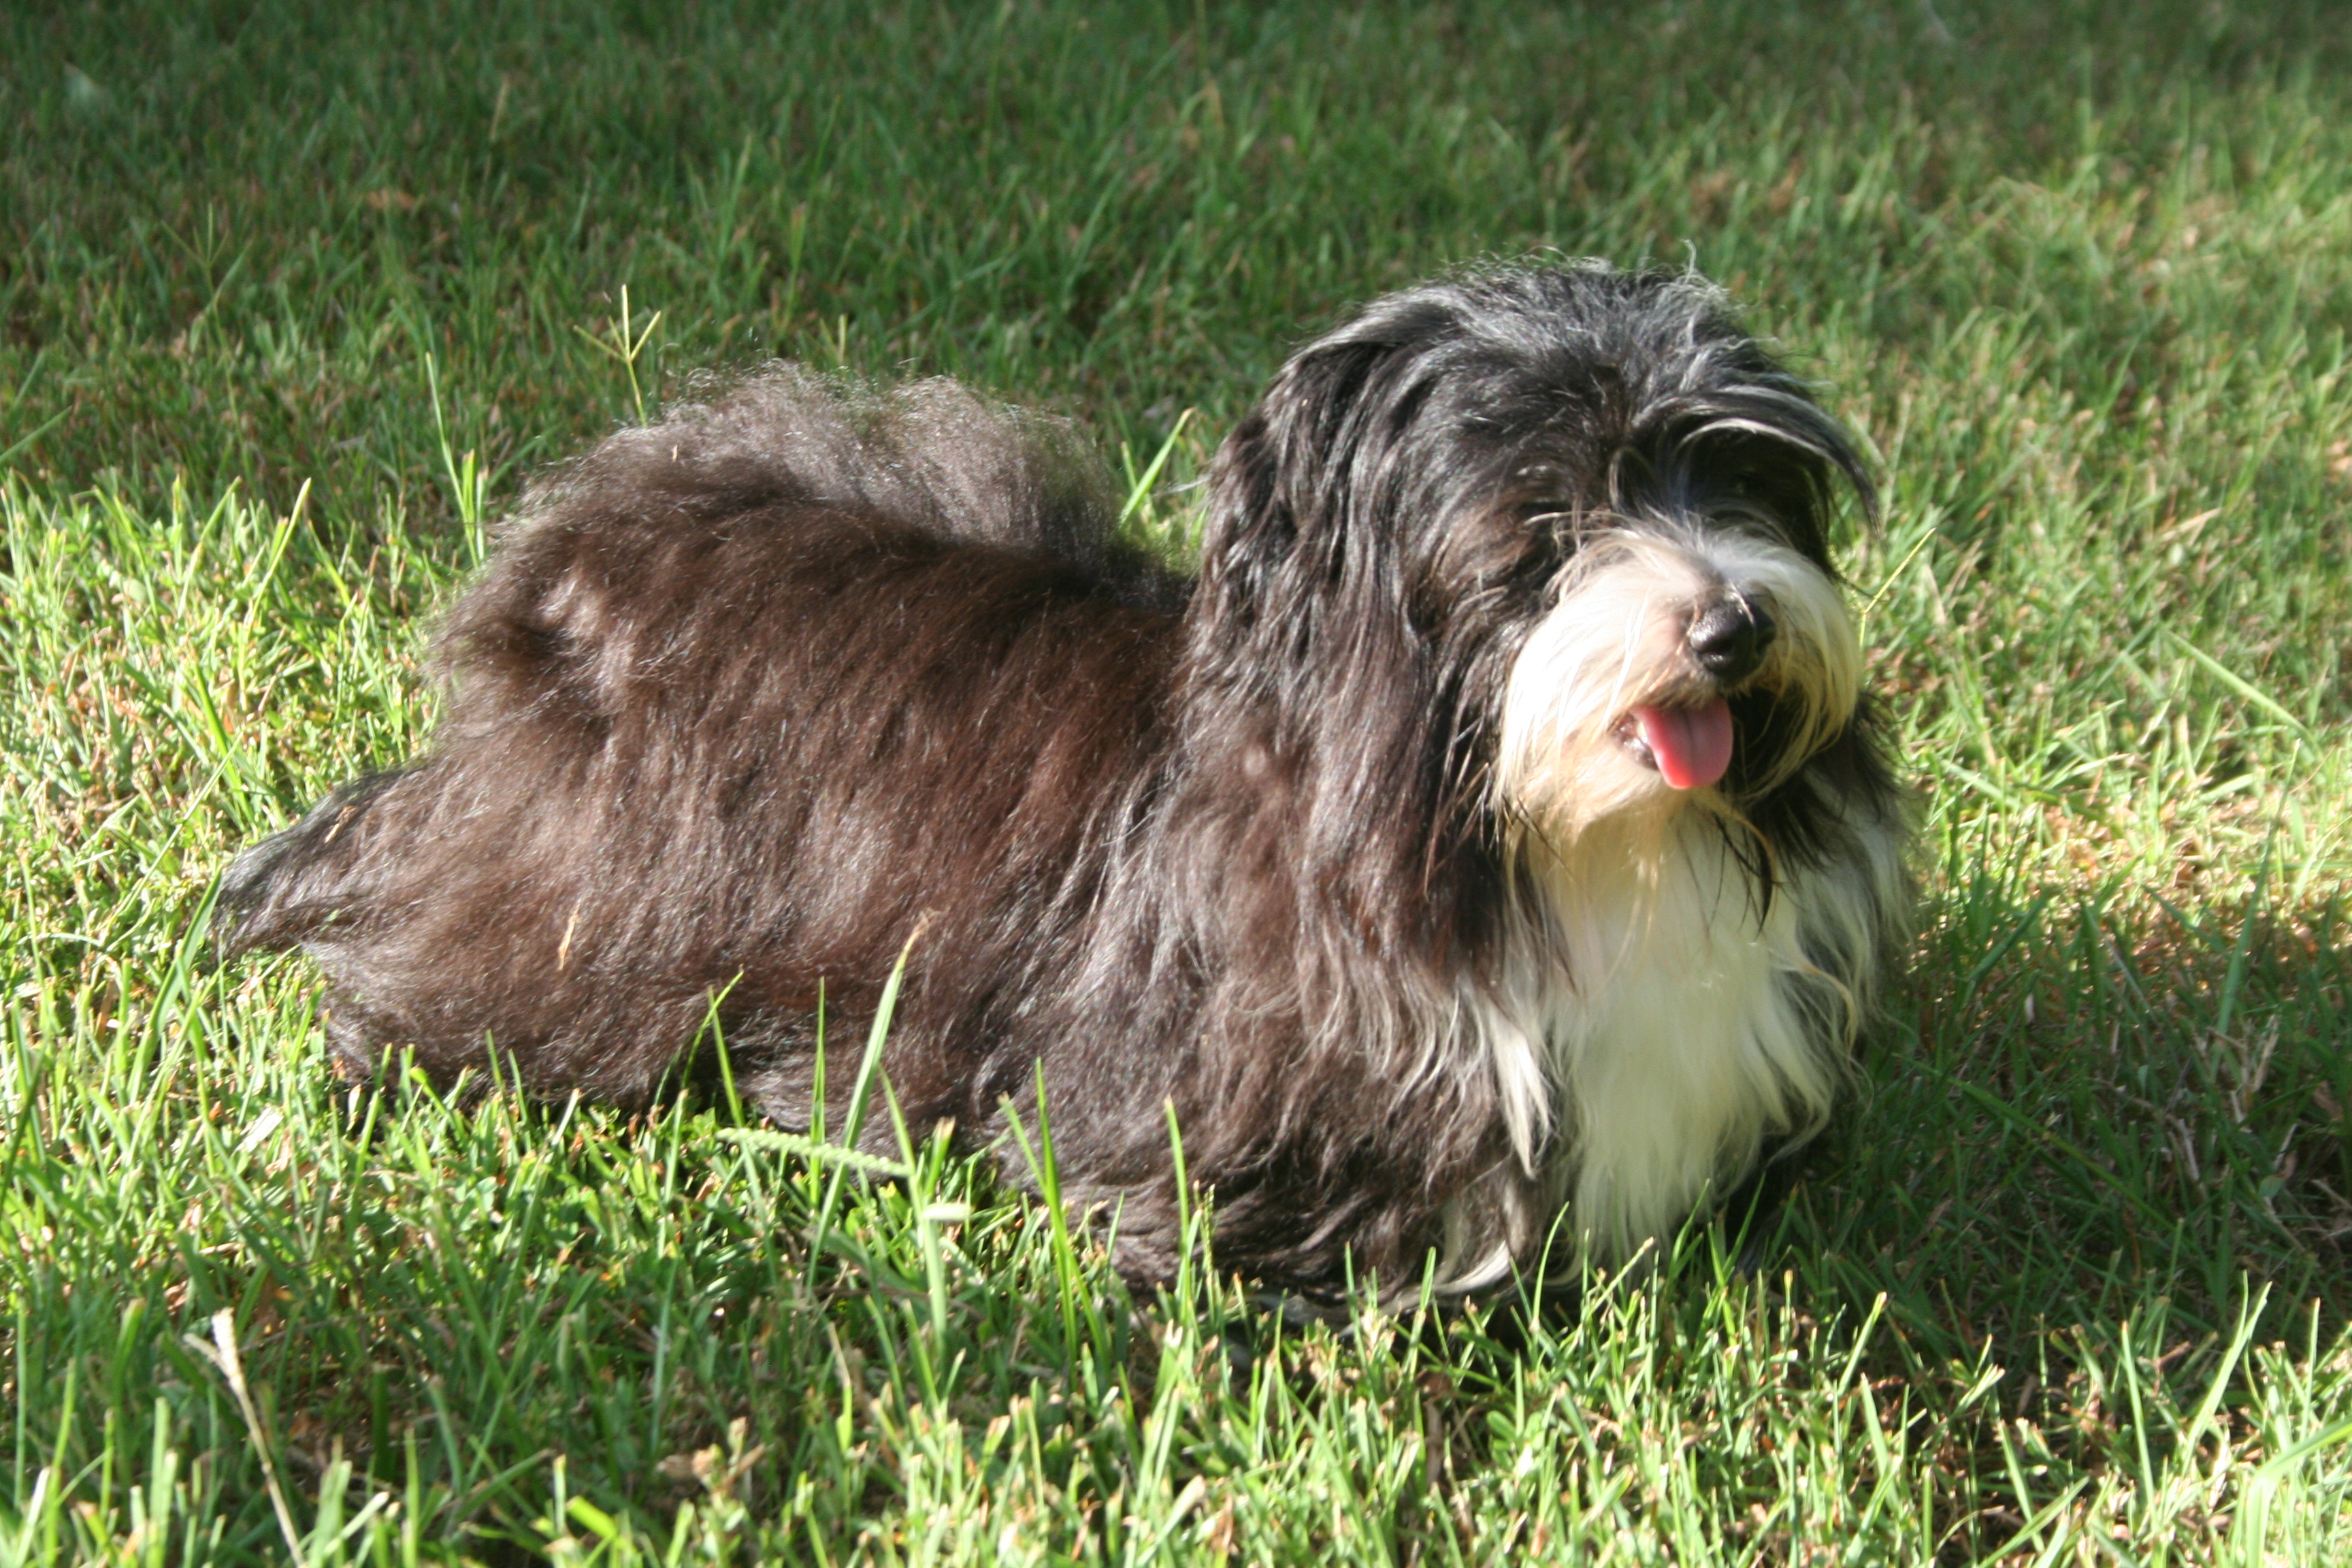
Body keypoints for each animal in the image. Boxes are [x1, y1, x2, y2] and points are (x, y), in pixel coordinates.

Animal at [218, 263, 1909, 1298]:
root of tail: (563, 573)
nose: (1733, 625)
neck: (1557, 837)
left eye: (1746, 480)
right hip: (592, 927)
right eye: (1543, 525)